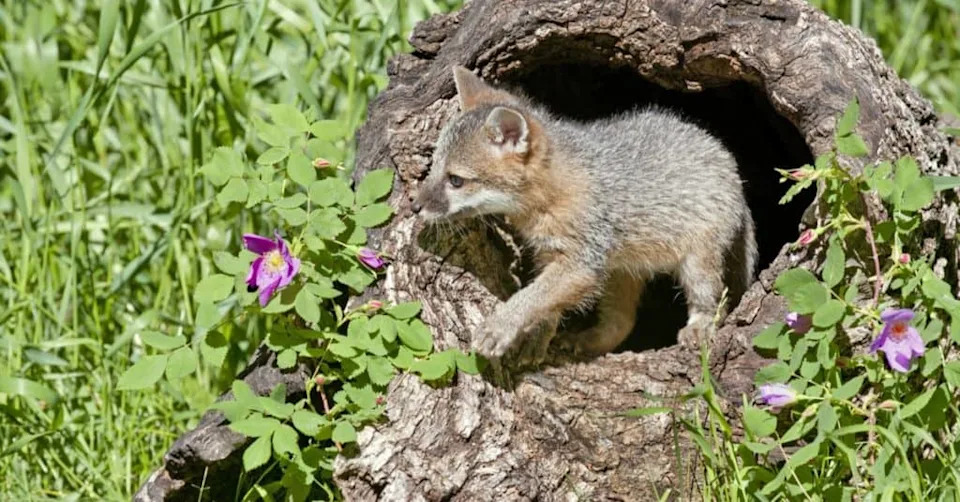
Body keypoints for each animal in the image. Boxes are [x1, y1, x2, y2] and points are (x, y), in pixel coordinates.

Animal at [412, 66, 757, 360]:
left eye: (456, 180)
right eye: (433, 168)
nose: (415, 205)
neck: (551, 196)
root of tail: (724, 155)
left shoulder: (581, 263)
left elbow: (531, 296)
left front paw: (502, 326)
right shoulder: (554, 257)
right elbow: (544, 302)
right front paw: (537, 336)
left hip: (696, 263)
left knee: (713, 301)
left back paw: (699, 327)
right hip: (621, 272)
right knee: (621, 322)